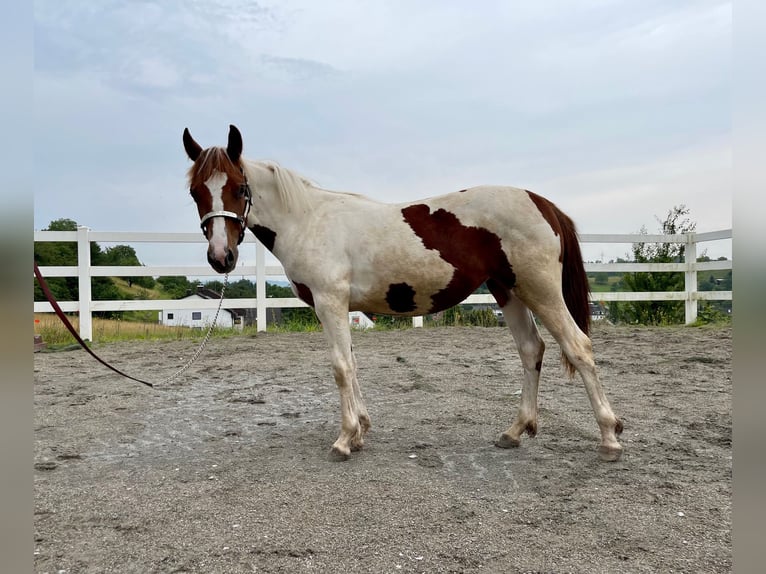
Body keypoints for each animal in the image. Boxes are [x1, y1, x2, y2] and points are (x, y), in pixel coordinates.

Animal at [184, 125, 624, 464]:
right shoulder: (342, 308)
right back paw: (515, 431)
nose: (221, 257)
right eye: (196, 193)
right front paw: (361, 431)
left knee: (578, 347)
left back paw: (609, 437)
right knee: (532, 350)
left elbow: (340, 367)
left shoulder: (329, 302)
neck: (309, 220)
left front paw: (344, 440)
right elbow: (352, 364)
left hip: (540, 290)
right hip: (509, 292)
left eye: (239, 188)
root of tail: (544, 203)